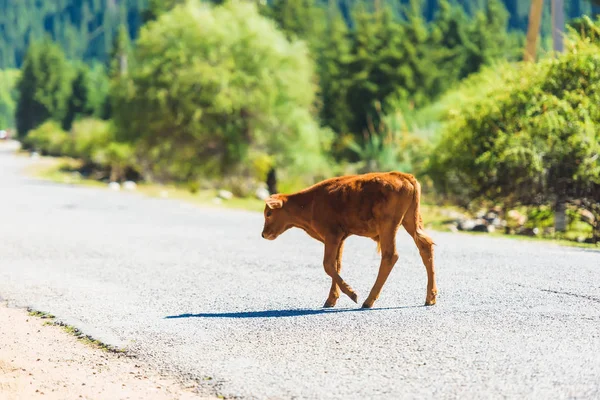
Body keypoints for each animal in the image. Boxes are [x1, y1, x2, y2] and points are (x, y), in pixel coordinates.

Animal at [260, 170, 438, 308]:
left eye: (269, 213)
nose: (263, 234)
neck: (311, 202)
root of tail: (403, 176)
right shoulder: (340, 239)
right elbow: (336, 265)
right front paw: (331, 300)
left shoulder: (332, 236)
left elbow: (328, 265)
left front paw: (352, 294)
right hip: (411, 221)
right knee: (425, 247)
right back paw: (430, 297)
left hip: (388, 226)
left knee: (390, 255)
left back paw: (368, 301)